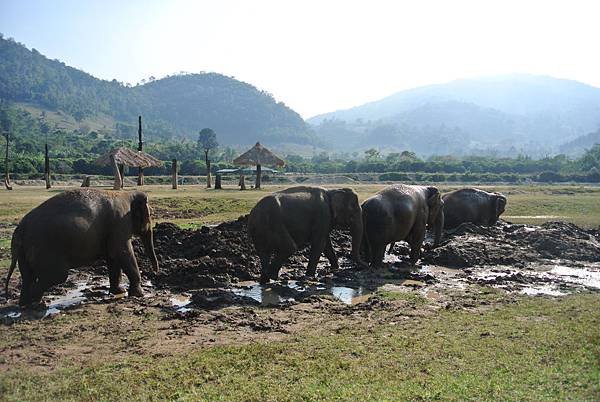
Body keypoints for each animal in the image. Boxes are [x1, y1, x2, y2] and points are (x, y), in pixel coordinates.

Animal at [4, 188, 159, 304]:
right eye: (150, 215)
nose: (156, 271)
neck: (128, 193)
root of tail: (20, 228)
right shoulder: (119, 223)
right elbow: (122, 252)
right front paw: (139, 295)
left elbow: (113, 257)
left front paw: (120, 291)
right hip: (45, 248)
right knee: (58, 275)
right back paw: (36, 302)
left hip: (24, 251)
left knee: (28, 276)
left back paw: (25, 304)